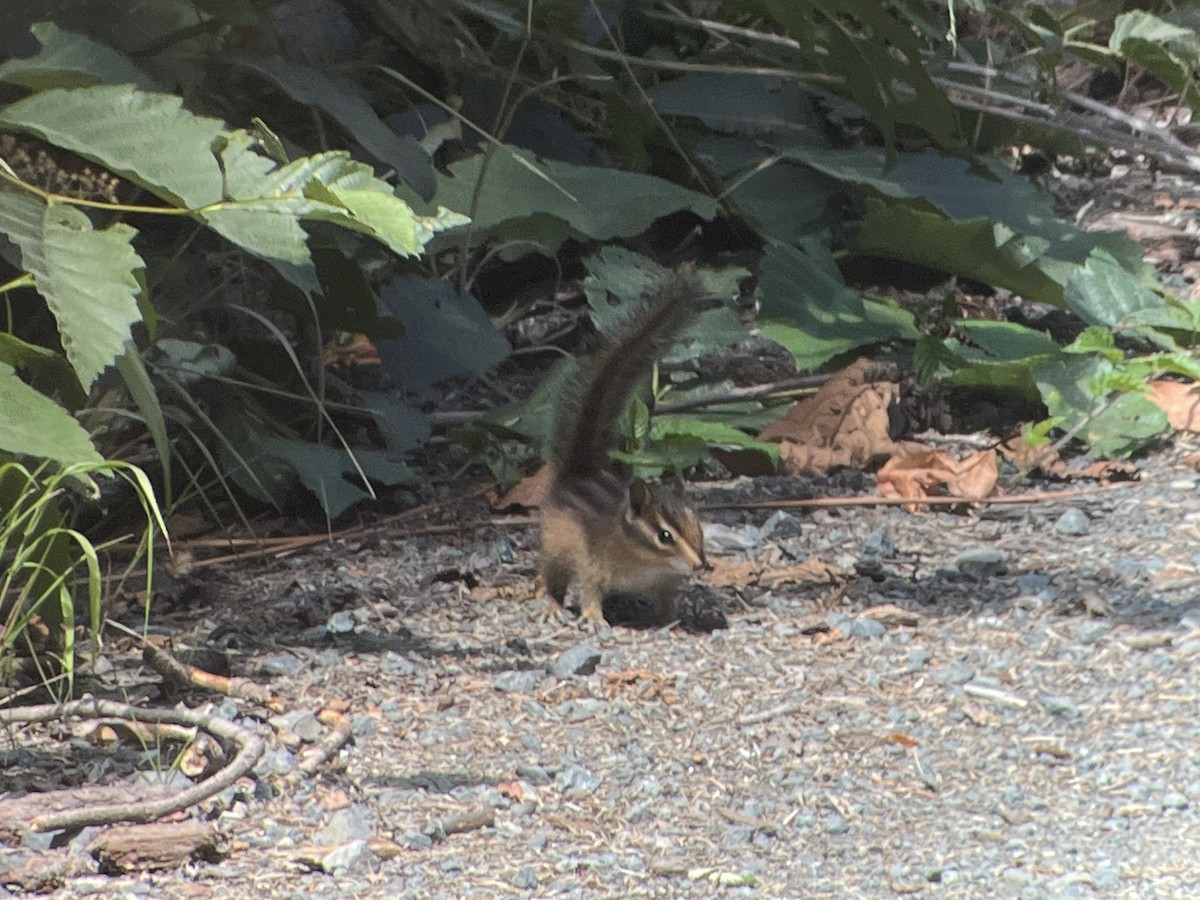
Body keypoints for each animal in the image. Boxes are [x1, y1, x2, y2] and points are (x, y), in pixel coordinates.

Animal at [538, 273, 707, 627]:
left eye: (698, 528)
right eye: (665, 537)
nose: (701, 565)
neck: (645, 563)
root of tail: (581, 467)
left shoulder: (664, 584)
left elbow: (667, 604)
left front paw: (673, 622)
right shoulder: (591, 565)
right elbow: (589, 591)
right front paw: (593, 617)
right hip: (554, 548)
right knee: (551, 578)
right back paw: (551, 605)